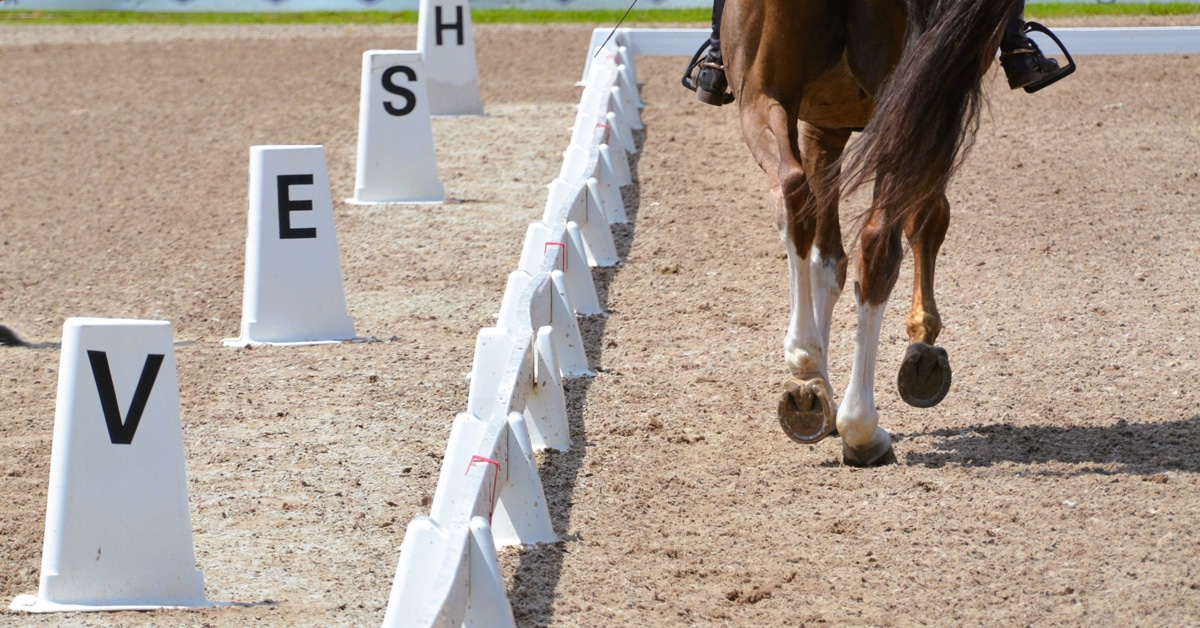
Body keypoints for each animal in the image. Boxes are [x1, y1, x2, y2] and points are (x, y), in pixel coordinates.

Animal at [721, 0, 1022, 466]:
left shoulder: (825, 122)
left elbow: (827, 259)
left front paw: (818, 386)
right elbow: (926, 220)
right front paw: (921, 348)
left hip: (764, 95)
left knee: (793, 193)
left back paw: (810, 376)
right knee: (877, 237)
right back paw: (859, 423)